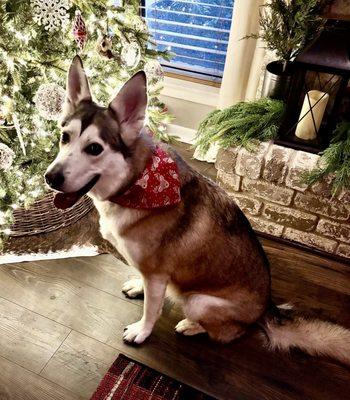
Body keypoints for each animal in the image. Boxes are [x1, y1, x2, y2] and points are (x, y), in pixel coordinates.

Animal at [45, 56, 350, 366]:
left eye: (94, 148)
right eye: (64, 137)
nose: (50, 177)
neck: (135, 183)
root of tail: (266, 310)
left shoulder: (157, 273)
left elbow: (152, 309)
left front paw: (142, 331)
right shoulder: (154, 274)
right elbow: (150, 290)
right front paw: (138, 288)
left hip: (198, 301)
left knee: (229, 333)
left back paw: (192, 326)